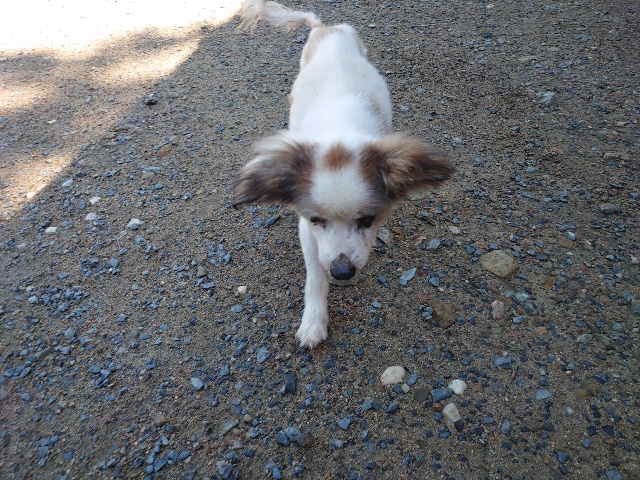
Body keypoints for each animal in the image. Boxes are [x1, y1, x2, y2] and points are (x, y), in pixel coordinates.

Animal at [233, 0, 454, 349]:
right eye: (316, 220)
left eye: (368, 220)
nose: (342, 272)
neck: (340, 129)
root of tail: (326, 27)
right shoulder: (307, 231)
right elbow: (314, 276)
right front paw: (313, 322)